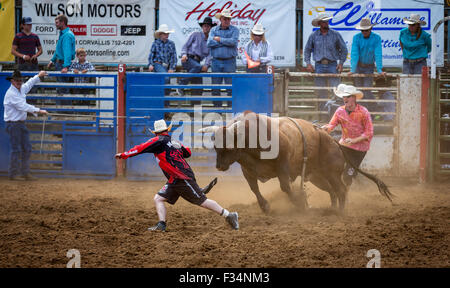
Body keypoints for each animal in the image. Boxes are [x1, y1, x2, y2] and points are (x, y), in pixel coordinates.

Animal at [199, 111, 392, 214]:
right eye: (215, 145)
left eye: (229, 145)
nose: (219, 166)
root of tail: (333, 140)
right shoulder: (248, 171)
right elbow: (254, 189)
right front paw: (265, 206)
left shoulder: (283, 167)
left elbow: (285, 187)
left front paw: (300, 204)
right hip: (316, 177)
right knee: (332, 191)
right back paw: (331, 208)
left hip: (332, 172)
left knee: (342, 189)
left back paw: (340, 212)